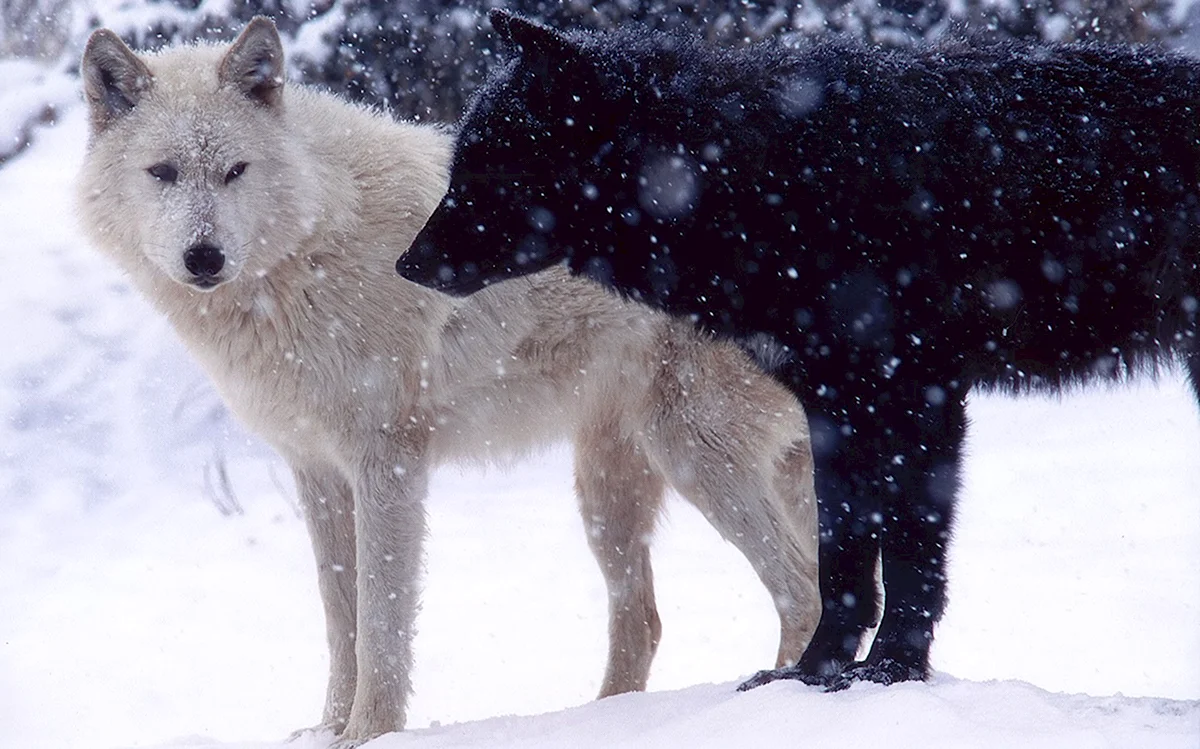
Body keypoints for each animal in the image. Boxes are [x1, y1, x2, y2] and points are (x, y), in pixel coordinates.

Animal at [77, 19, 825, 749]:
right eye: (163, 173)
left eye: (235, 171)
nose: (204, 257)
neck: (310, 245)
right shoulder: (316, 470)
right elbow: (339, 616)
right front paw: (326, 729)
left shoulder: (388, 461)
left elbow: (380, 624)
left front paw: (367, 734)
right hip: (609, 490)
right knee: (649, 619)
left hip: (693, 455)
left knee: (802, 595)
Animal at [398, 11, 1200, 691]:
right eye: (459, 166)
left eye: (486, 168)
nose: (404, 265)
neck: (763, 175)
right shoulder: (836, 407)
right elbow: (842, 559)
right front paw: (813, 676)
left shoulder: (919, 398)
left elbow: (908, 554)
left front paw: (892, 672)